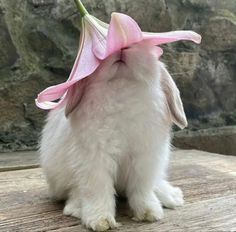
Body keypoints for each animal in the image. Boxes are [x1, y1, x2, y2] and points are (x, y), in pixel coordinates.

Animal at [40, 40, 186, 231]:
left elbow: (142, 189)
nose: (122, 47)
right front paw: (100, 221)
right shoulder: (94, 160)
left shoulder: (145, 160)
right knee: (75, 192)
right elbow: (97, 189)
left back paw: (172, 196)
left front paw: (149, 213)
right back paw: (76, 208)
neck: (122, 88)